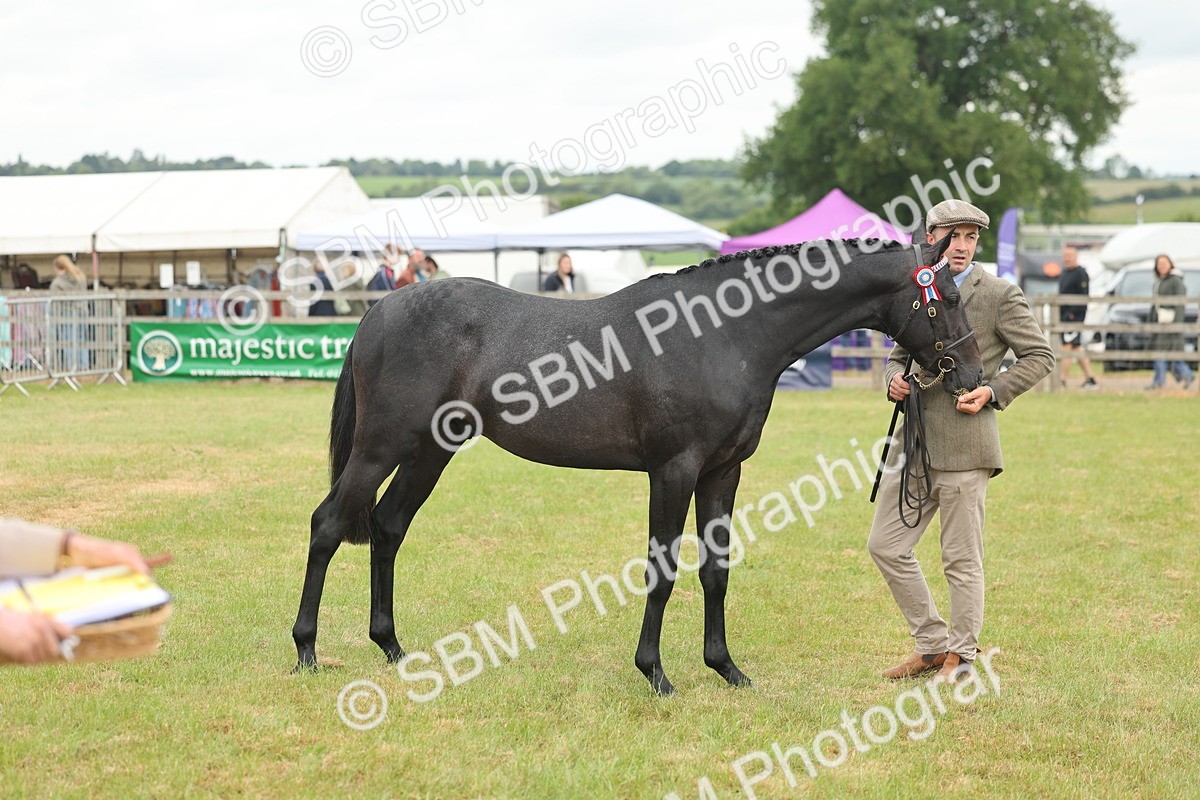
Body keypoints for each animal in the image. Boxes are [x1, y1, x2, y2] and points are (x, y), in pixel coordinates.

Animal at [292, 234, 983, 695]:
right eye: (946, 295)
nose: (972, 379)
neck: (723, 336)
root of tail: (378, 311)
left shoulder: (723, 473)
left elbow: (715, 572)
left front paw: (725, 668)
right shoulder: (673, 471)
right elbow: (662, 569)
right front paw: (655, 674)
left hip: (430, 452)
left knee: (387, 527)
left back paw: (393, 647)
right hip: (382, 446)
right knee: (328, 524)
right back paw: (306, 652)